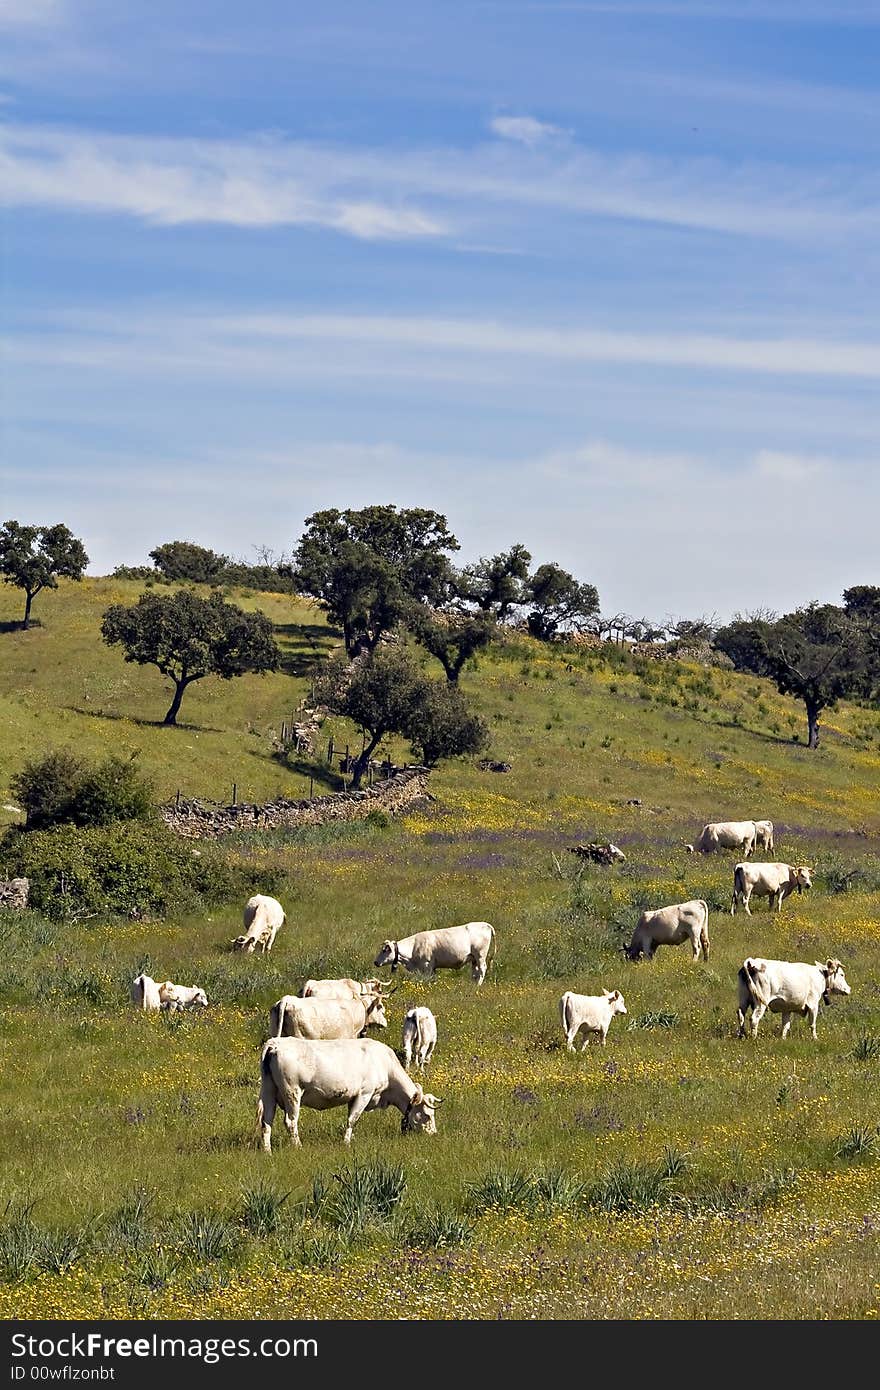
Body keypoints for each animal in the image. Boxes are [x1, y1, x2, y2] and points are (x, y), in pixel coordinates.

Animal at [257, 1039, 442, 1145]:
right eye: (427, 1115)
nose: (434, 1134)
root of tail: (274, 1044)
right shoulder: (364, 1094)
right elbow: (352, 1119)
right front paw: (346, 1143)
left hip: (268, 1092)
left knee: (266, 1122)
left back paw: (267, 1150)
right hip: (292, 1092)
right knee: (290, 1122)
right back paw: (298, 1146)